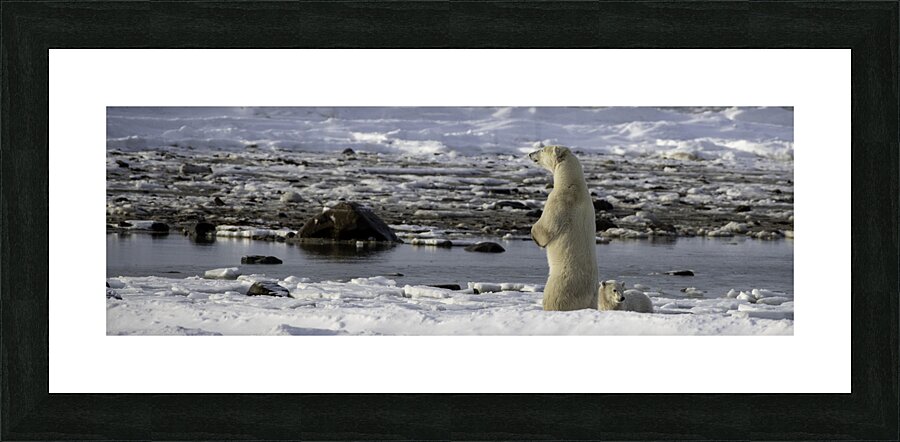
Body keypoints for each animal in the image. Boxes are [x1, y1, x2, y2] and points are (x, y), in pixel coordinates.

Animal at [528, 145, 599, 311]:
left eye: (542, 150)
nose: (530, 154)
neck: (573, 182)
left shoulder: (559, 200)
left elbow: (546, 227)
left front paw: (535, 237)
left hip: (560, 284)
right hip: (594, 298)